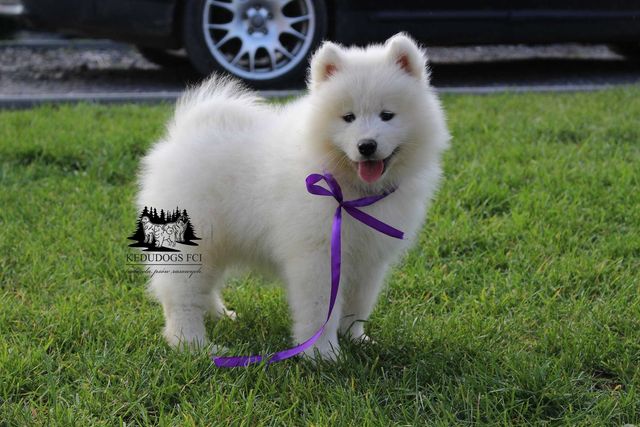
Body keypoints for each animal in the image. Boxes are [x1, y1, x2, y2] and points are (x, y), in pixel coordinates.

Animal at [139, 33, 450, 362]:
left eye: (387, 115)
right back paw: (195, 345)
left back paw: (219, 315)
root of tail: (184, 134)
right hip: (197, 242)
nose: (366, 145)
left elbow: (358, 304)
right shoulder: (317, 255)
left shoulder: (368, 259)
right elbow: (319, 309)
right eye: (348, 117)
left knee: (202, 288)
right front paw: (323, 354)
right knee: (182, 297)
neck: (348, 189)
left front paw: (356, 339)